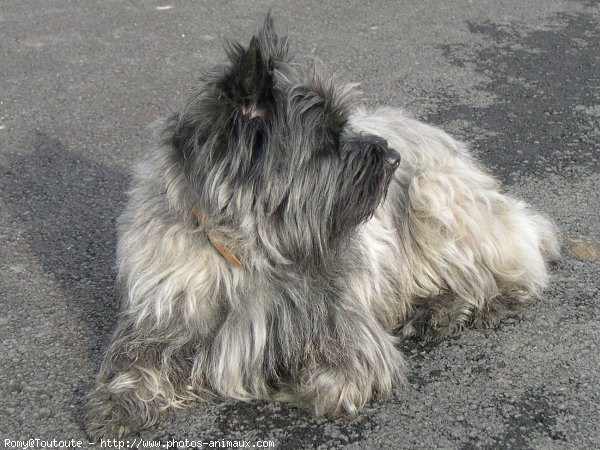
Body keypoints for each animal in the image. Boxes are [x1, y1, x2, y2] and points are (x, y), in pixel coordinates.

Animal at [85, 14, 556, 440]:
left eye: (345, 124)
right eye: (326, 138)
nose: (393, 157)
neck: (247, 248)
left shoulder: (343, 330)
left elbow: (332, 382)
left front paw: (292, 383)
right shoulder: (163, 318)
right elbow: (135, 361)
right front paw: (120, 403)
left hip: (434, 197)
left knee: (507, 270)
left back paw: (454, 307)